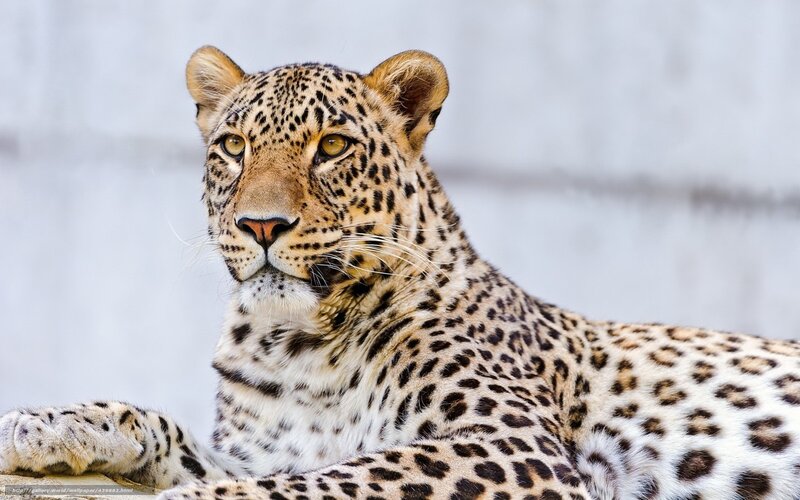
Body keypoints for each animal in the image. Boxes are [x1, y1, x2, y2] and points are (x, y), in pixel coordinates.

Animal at [1, 46, 799, 500]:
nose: (261, 225)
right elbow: (164, 426)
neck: (295, 345)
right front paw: (43, 424)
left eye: (331, 147)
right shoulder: (261, 452)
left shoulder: (509, 445)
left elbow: (327, 484)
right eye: (232, 146)